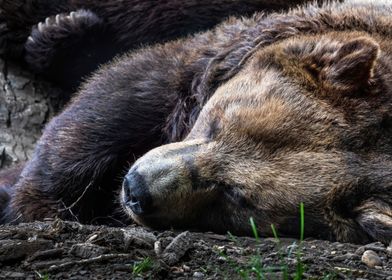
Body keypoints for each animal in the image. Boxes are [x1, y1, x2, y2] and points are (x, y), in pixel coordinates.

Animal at [0, 0, 392, 244]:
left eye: (235, 195)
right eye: (218, 123)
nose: (136, 188)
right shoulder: (222, 54)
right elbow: (117, 101)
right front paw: (40, 203)